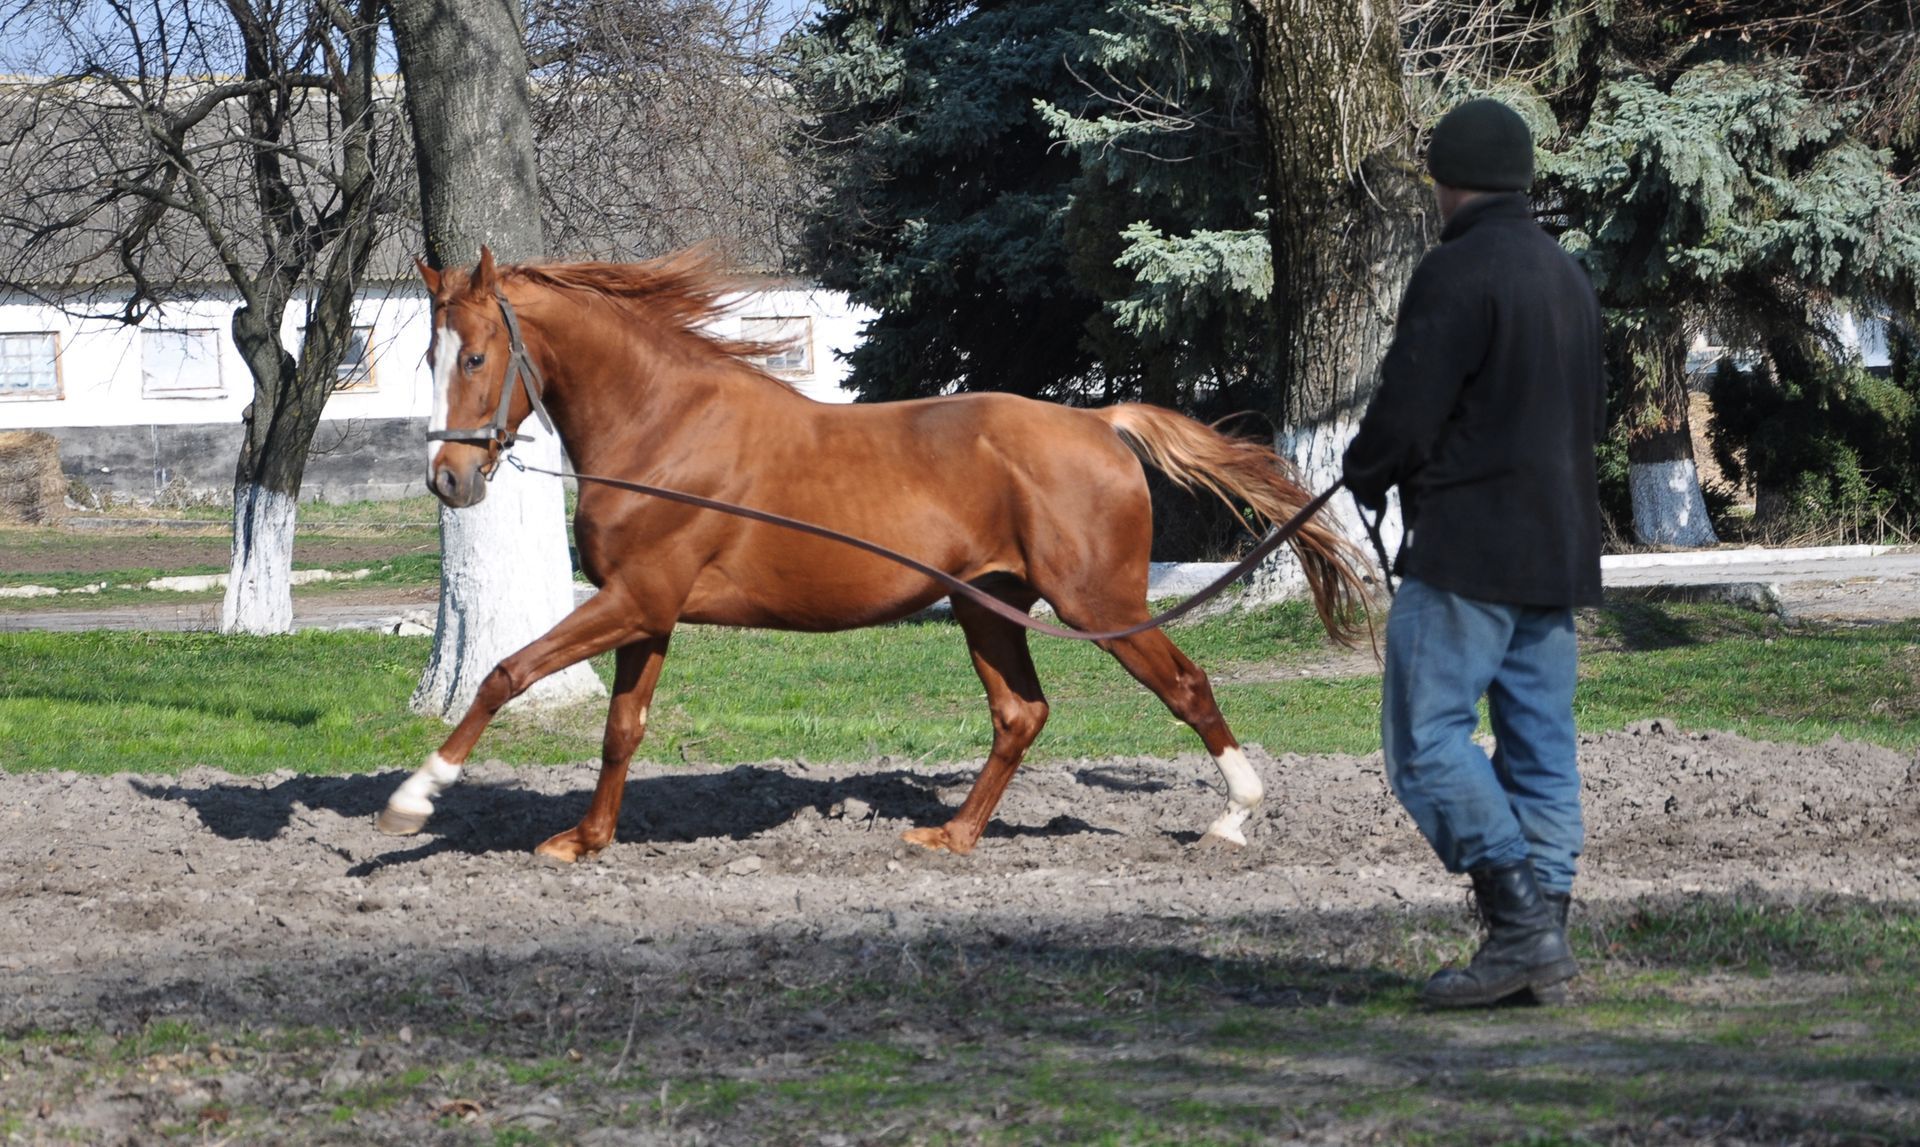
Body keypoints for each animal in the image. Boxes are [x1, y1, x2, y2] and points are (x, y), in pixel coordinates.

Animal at [377, 247, 1371, 863]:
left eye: (475, 355)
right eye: (426, 354)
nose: (449, 480)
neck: (664, 428)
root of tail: (1099, 421)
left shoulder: (635, 599)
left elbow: (505, 672)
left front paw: (415, 798)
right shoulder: (645, 609)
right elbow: (622, 728)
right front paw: (583, 841)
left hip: (1099, 604)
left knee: (1185, 686)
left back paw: (1234, 818)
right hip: (986, 604)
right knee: (1021, 713)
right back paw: (953, 836)